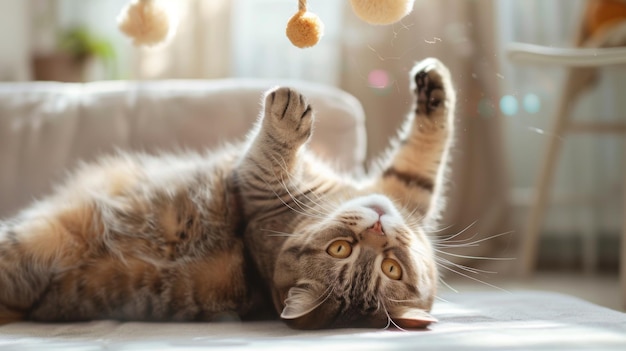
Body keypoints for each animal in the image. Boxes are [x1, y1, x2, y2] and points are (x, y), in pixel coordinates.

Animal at [2, 57, 456, 330]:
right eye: (341, 249)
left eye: (390, 268)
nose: (379, 229)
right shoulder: (404, 193)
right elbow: (427, 146)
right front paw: (434, 84)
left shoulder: (257, 183)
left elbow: (272, 151)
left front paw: (286, 120)